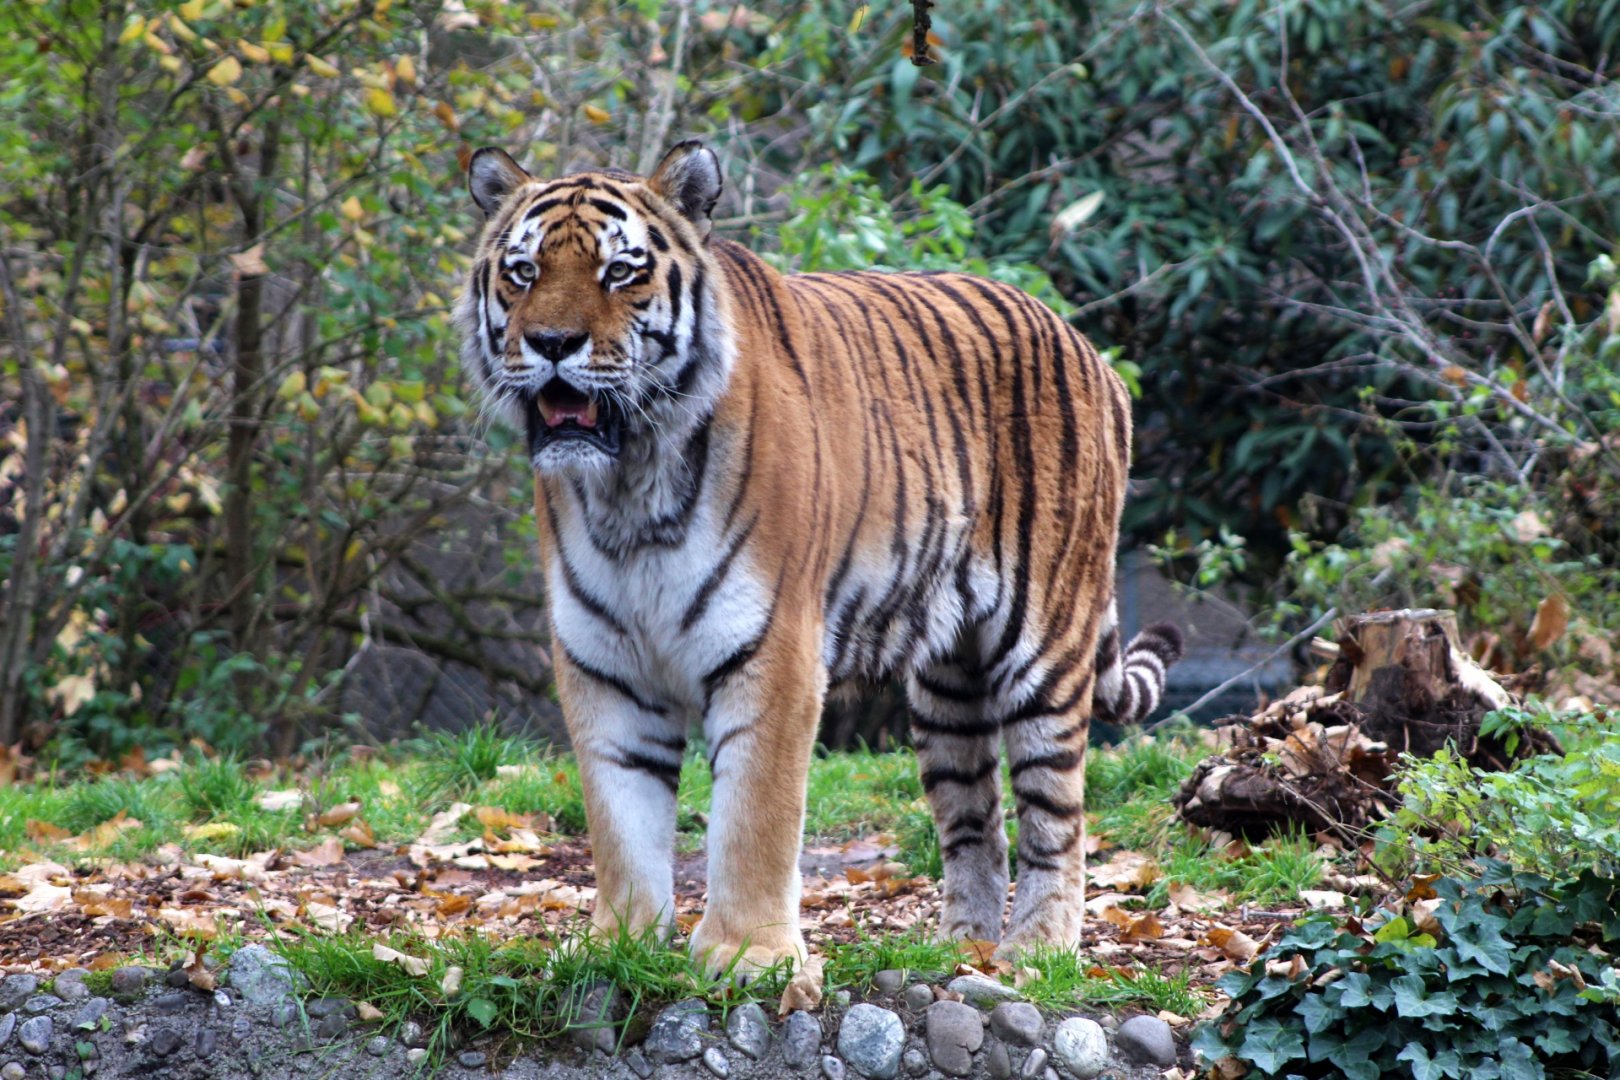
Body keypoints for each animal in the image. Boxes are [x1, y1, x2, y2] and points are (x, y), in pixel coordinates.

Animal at [455, 140, 1183, 979]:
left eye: (621, 271)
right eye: (523, 271)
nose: (550, 345)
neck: (629, 485)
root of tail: (1090, 350)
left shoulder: (772, 650)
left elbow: (754, 817)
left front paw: (747, 955)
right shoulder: (602, 663)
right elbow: (620, 819)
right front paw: (620, 947)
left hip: (1045, 646)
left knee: (1056, 815)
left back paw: (1037, 950)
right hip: (948, 687)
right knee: (975, 820)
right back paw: (958, 947)